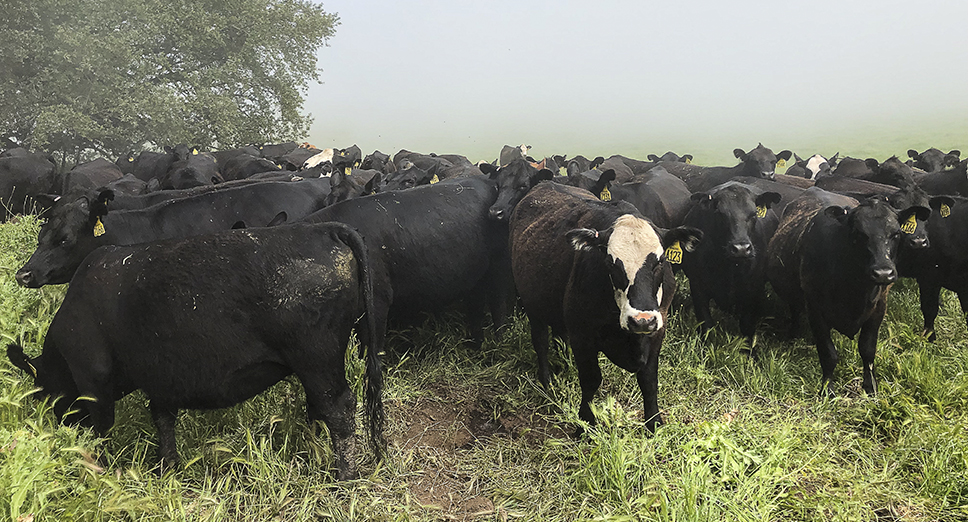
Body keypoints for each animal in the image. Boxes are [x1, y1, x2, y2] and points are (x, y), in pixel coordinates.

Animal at [8, 221, 386, 478]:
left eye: (43, 393)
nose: (59, 428)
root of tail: (324, 229)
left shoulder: (93, 381)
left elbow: (101, 433)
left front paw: (99, 472)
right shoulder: (160, 378)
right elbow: (163, 421)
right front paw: (167, 468)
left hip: (317, 357)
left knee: (338, 409)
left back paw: (344, 476)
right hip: (315, 364)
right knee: (321, 407)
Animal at [510, 181, 700, 432]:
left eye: (659, 261)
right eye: (611, 263)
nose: (641, 320)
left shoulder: (658, 328)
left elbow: (649, 379)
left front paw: (653, 422)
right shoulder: (582, 334)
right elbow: (591, 379)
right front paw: (585, 422)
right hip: (534, 306)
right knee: (541, 341)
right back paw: (547, 380)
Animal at [676, 182, 784, 342]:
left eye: (754, 214)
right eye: (720, 214)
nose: (741, 249)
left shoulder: (752, 289)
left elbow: (747, 326)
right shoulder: (697, 286)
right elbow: (706, 324)